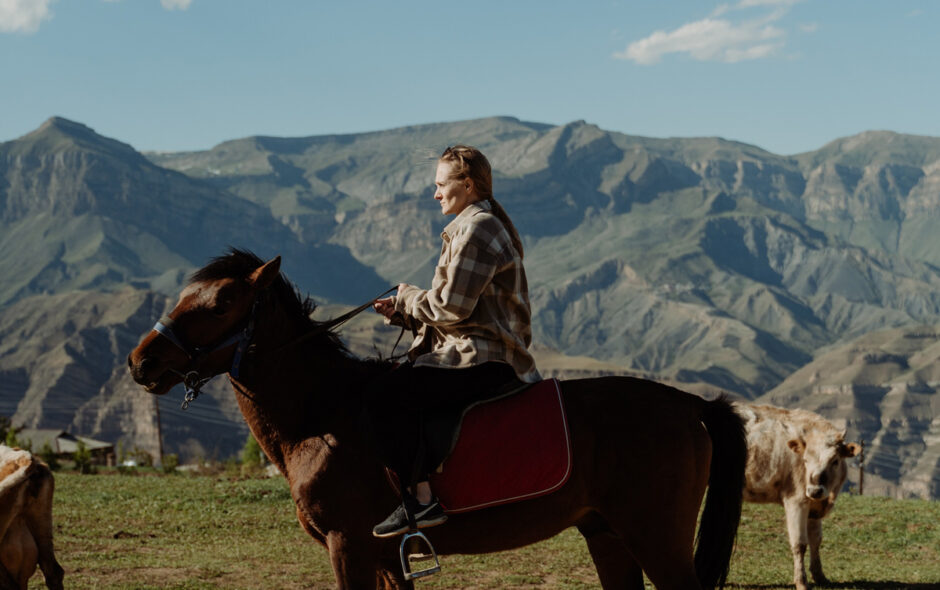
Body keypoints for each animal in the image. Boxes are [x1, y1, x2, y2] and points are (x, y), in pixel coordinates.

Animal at [126, 250, 748, 590]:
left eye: (220, 304)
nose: (141, 362)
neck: (321, 417)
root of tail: (688, 403)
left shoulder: (348, 548)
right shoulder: (384, 559)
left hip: (655, 538)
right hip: (608, 534)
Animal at [740, 404, 864, 590]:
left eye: (835, 461)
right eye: (805, 460)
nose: (814, 490)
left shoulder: (814, 507)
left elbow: (816, 540)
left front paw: (820, 576)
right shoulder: (796, 500)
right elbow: (799, 543)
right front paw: (801, 582)